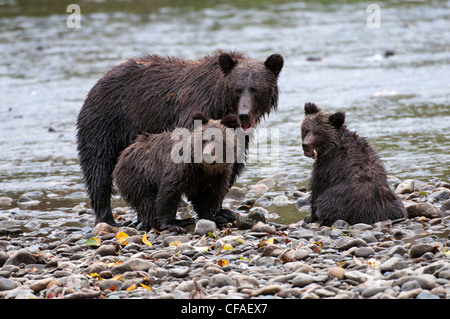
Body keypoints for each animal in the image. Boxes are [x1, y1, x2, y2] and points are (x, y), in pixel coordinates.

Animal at [76, 50, 284, 226]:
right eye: (237, 89)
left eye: (256, 89)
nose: (244, 114)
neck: (222, 102)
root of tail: (101, 78)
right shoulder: (196, 111)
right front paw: (214, 211)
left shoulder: (238, 135)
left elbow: (229, 167)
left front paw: (221, 210)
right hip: (106, 121)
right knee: (99, 167)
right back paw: (107, 217)